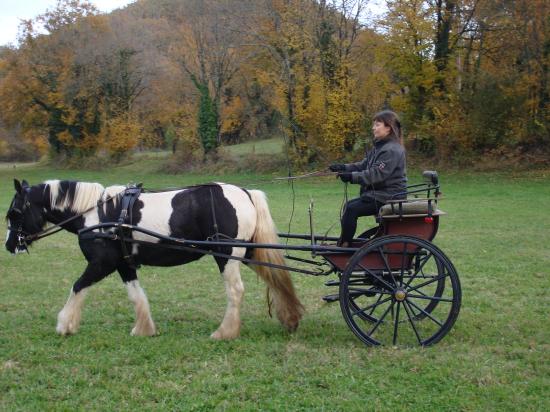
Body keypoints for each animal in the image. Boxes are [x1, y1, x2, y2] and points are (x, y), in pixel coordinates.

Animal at [5, 179, 306, 340]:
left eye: (14, 213)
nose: (9, 245)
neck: (96, 214)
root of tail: (244, 192)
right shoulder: (123, 264)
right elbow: (136, 295)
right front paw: (144, 328)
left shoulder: (101, 264)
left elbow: (78, 287)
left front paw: (65, 324)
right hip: (249, 253)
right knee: (278, 280)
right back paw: (290, 318)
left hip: (228, 256)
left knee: (236, 291)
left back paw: (225, 331)